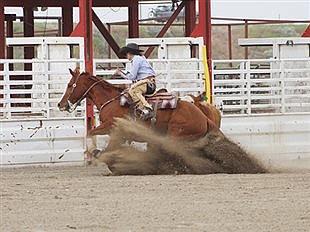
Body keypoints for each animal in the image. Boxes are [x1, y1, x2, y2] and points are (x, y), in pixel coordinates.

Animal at [58, 68, 218, 145]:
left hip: (176, 134)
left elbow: (90, 133)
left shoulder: (111, 125)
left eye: (69, 85)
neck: (111, 100)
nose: (61, 104)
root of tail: (204, 118)